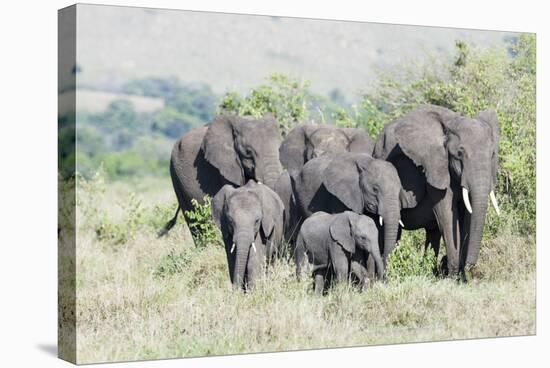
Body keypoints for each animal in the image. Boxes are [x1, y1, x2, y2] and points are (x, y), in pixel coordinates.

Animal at [378, 103, 502, 276]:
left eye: (492, 154)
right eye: (459, 154)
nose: (471, 265)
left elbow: (468, 213)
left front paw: (460, 275)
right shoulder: (434, 166)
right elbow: (446, 213)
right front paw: (453, 275)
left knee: (432, 233)